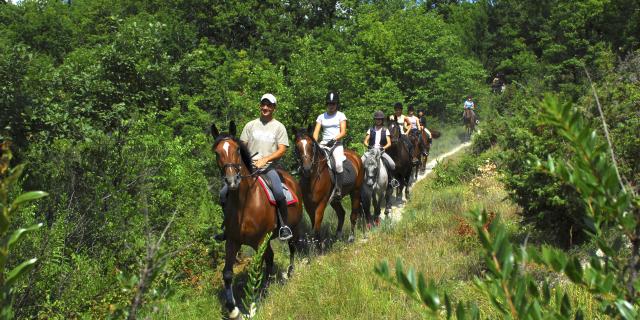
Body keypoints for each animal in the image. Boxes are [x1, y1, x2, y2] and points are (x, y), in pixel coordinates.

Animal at [209, 121, 302, 318]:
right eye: (217, 152)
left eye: (237, 150)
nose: (232, 181)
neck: (244, 203)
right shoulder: (232, 241)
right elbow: (227, 273)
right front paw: (233, 309)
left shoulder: (259, 241)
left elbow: (256, 271)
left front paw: (252, 306)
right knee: (270, 258)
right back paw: (266, 288)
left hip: (293, 228)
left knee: (292, 248)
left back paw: (289, 274)